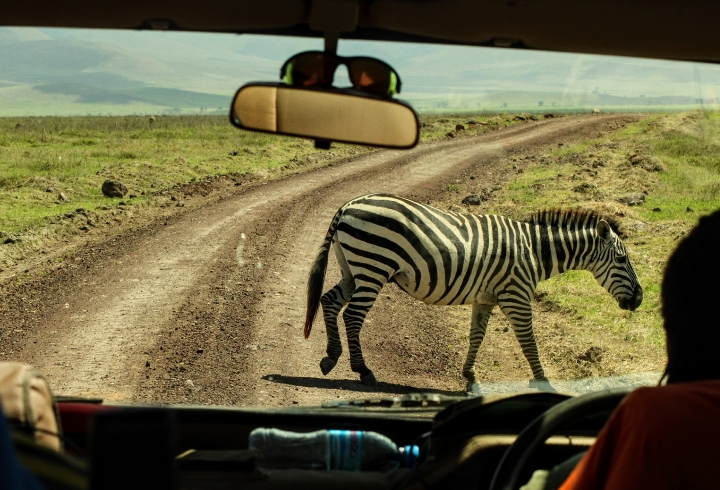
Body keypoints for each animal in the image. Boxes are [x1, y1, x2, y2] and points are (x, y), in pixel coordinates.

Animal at [300, 193, 644, 392]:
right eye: (622, 259)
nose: (639, 299)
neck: (535, 252)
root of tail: (347, 205)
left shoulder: (486, 298)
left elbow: (476, 336)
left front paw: (470, 375)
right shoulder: (516, 295)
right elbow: (529, 341)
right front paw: (543, 382)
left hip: (353, 268)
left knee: (329, 301)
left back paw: (330, 357)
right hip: (373, 266)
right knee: (353, 316)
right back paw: (363, 371)